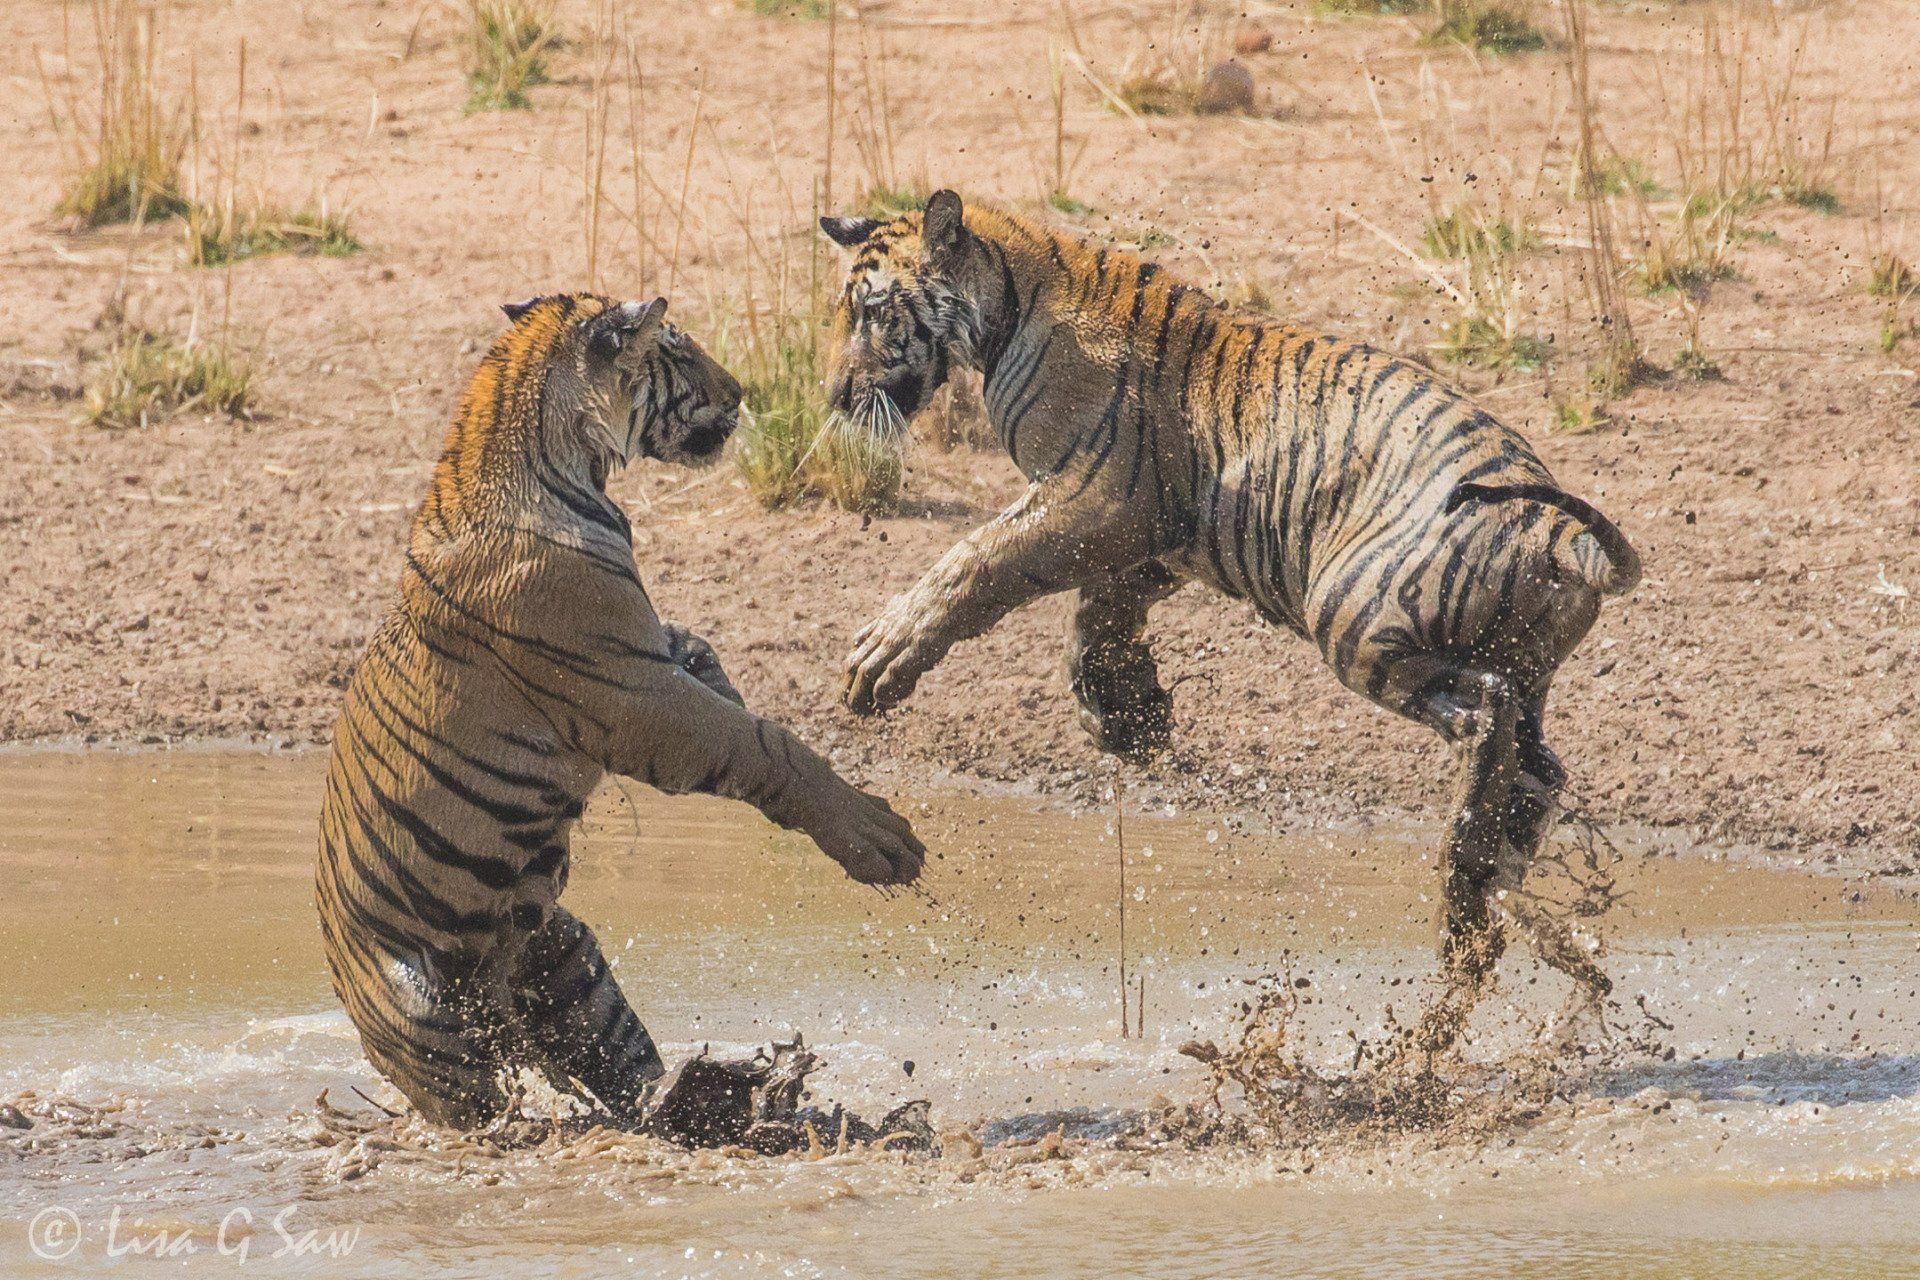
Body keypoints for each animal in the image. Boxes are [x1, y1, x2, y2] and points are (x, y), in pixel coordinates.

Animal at [316, 293, 929, 1128]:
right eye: (680, 350)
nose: (741, 392)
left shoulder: (647, 657)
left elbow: (707, 656)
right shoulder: (637, 698)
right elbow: (769, 747)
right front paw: (881, 841)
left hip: (564, 958)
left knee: (622, 1068)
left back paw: (709, 1095)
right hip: (427, 1019)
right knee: (483, 1102)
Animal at [817, 195, 1643, 1059]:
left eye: (874, 312)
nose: (836, 395)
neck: (1008, 297)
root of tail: (1560, 532)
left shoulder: (1097, 501)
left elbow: (974, 562)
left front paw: (879, 661)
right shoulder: (1158, 534)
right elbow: (1095, 619)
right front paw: (1125, 716)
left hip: (1353, 619)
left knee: (1483, 718)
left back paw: (1461, 883)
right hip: (1523, 669)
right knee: (1535, 771)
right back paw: (1492, 906)